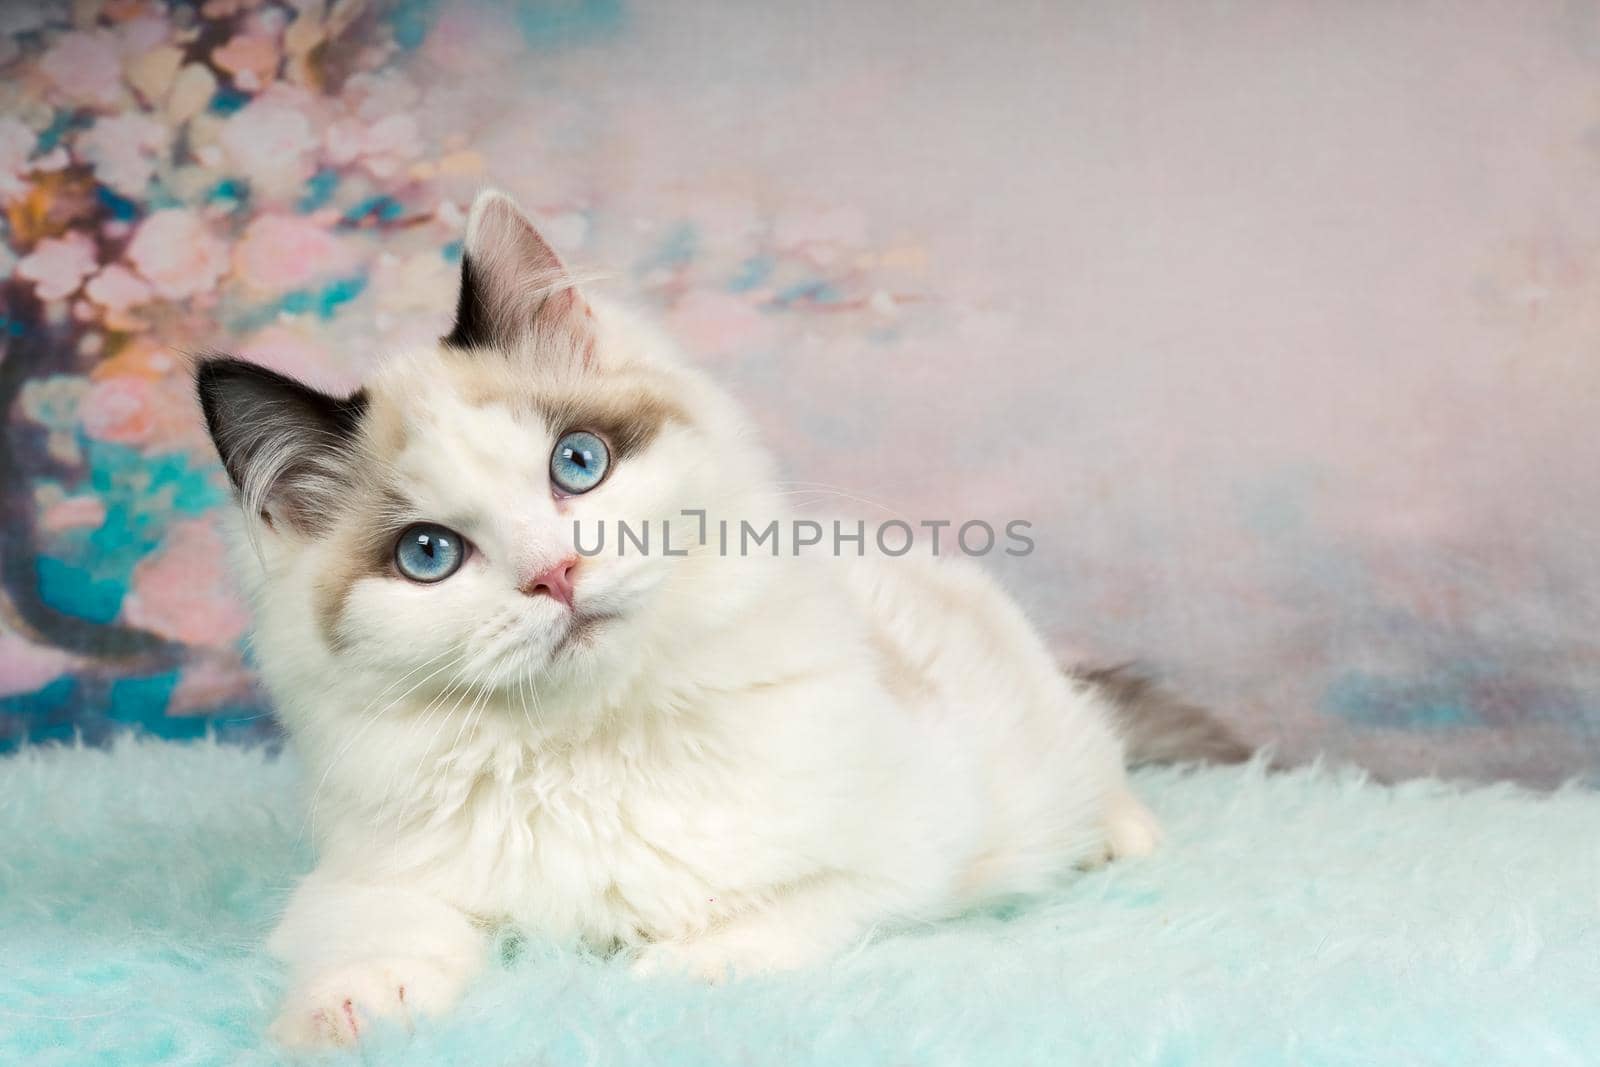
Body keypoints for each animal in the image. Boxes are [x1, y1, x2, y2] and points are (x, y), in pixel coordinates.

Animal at [196, 187, 1248, 1049]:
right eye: (428, 555)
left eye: (577, 463)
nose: (555, 574)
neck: (592, 744)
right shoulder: (373, 877)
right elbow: (377, 938)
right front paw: (345, 1014)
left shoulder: (905, 847)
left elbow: (785, 912)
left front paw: (670, 969)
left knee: (1096, 758)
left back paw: (1120, 835)